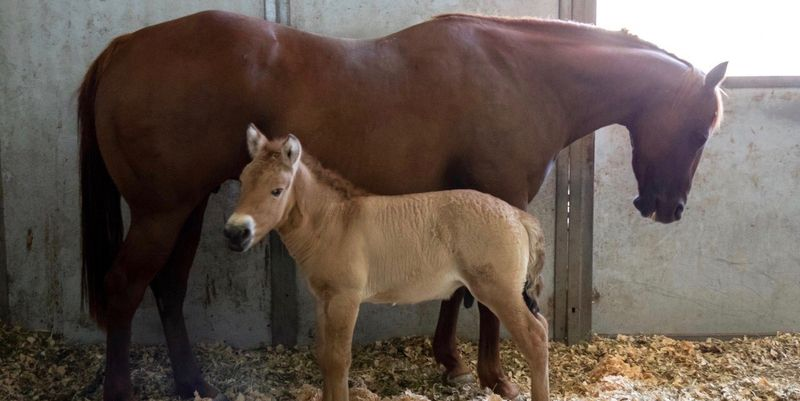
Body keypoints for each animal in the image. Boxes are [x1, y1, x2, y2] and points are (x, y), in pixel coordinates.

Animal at [225, 125, 552, 400]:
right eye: (242, 182)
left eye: (277, 190)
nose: (235, 233)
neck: (335, 223)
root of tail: (517, 215)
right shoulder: (323, 299)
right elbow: (324, 356)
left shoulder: (345, 299)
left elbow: (339, 360)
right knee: (543, 326)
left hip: (499, 291)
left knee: (535, 338)